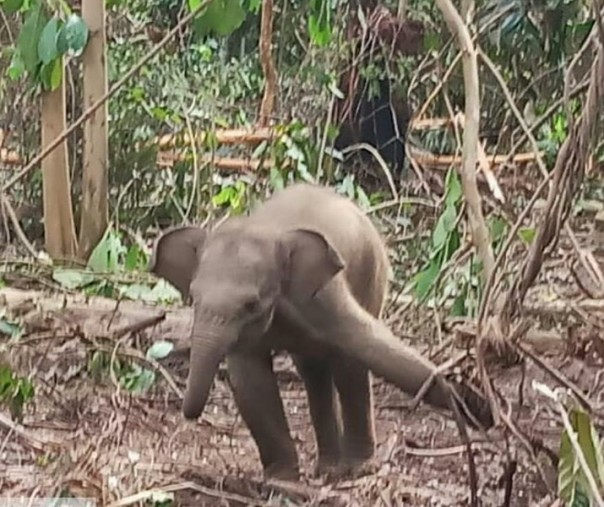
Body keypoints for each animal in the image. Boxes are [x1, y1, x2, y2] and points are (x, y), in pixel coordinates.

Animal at [150, 183, 490, 480]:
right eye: (193, 298)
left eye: (251, 304)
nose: (189, 414)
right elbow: (250, 380)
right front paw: (281, 478)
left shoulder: (325, 296)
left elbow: (361, 348)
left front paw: (473, 403)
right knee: (314, 371)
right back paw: (327, 468)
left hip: (373, 273)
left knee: (343, 364)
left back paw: (344, 468)